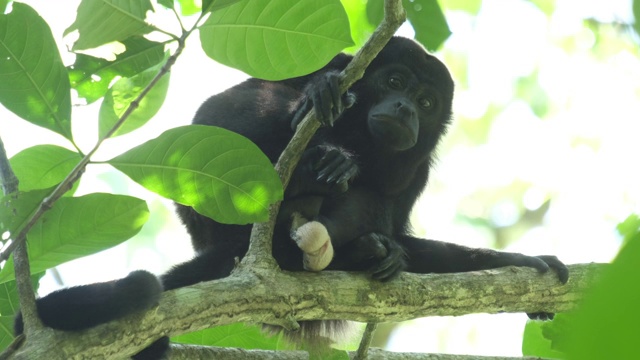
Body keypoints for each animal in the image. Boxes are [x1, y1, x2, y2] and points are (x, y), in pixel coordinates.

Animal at [13, 36, 564, 358]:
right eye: (394, 81)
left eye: (427, 102)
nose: (407, 108)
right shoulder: (317, 70)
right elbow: (220, 113)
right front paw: (318, 100)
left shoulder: (419, 169)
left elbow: (406, 230)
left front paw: (521, 262)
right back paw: (312, 173)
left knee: (369, 202)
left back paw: (360, 246)